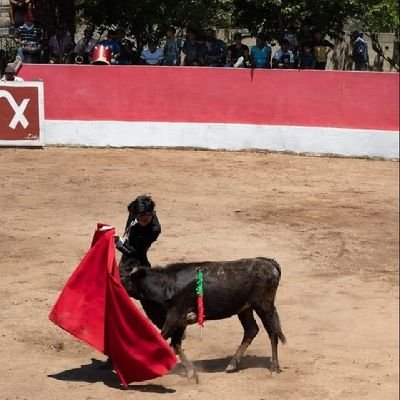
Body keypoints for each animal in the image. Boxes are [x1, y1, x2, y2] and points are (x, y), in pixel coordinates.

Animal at [120, 256, 286, 382]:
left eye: (124, 278)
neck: (166, 284)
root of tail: (270, 262)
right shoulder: (180, 321)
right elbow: (176, 344)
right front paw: (190, 372)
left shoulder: (175, 316)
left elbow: (163, 338)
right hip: (245, 309)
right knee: (251, 330)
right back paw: (232, 365)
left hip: (264, 306)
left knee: (272, 333)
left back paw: (274, 367)